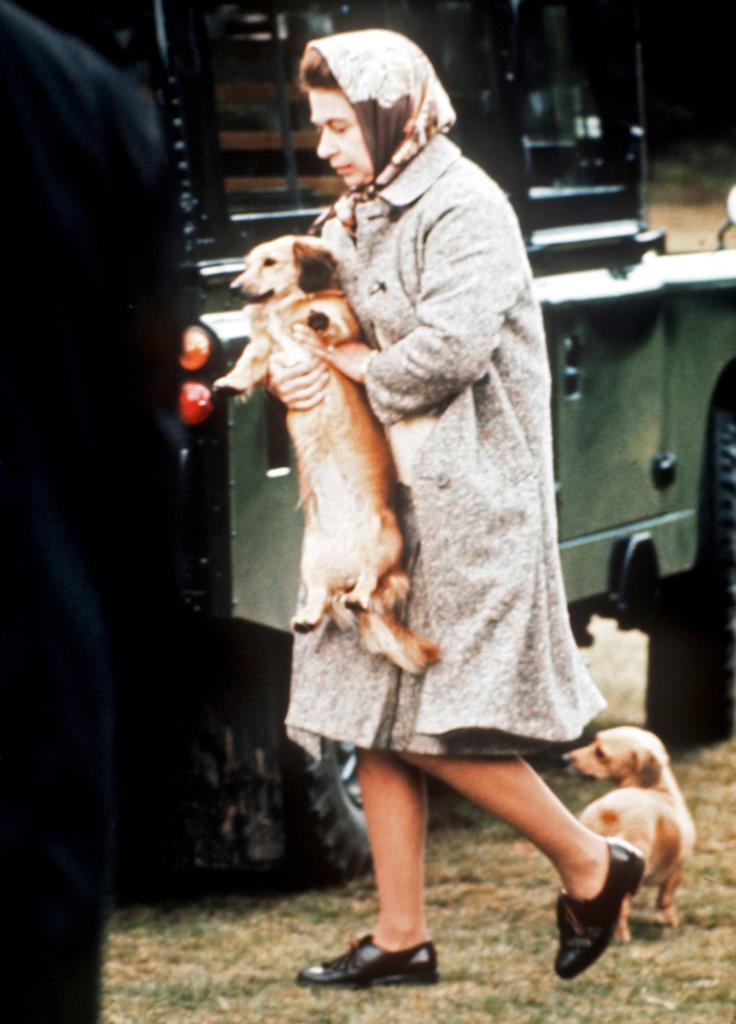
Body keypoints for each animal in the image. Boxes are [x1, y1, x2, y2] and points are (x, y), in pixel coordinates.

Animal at [211, 235, 438, 675]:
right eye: (246, 263)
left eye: (269, 262)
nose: (234, 288)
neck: (282, 310)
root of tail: (344, 571)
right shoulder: (264, 350)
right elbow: (248, 362)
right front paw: (229, 383)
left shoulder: (343, 325)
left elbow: (332, 319)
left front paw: (317, 317)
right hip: (310, 563)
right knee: (320, 597)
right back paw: (307, 617)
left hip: (382, 545)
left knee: (369, 584)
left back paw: (358, 596)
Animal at [569, 729, 696, 942]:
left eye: (600, 752)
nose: (565, 758)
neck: (659, 789)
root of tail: (608, 811)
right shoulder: (675, 870)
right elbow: (665, 900)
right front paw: (668, 921)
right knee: (621, 910)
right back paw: (622, 937)